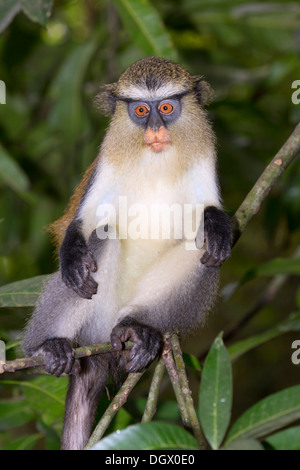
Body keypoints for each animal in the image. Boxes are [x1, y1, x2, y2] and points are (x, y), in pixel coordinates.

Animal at [21, 56, 232, 448]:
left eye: (166, 108)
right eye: (140, 110)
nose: (155, 130)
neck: (156, 160)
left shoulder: (204, 159)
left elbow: (208, 217)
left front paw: (217, 224)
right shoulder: (107, 162)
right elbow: (85, 222)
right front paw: (71, 255)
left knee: (200, 247)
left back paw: (138, 329)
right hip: (95, 318)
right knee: (102, 238)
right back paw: (46, 348)